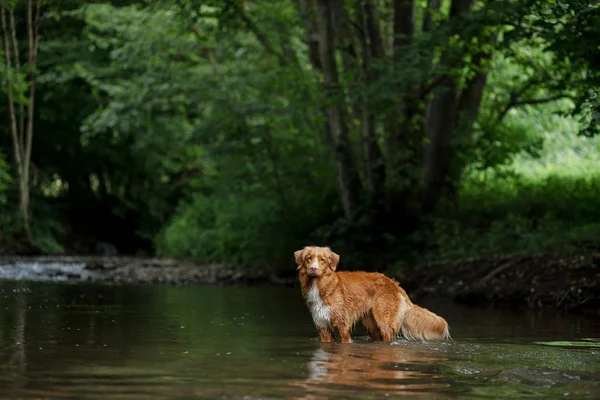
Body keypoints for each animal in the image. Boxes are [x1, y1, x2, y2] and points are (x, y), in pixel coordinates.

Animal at [292, 245, 448, 342]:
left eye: (322, 260)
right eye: (308, 258)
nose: (313, 269)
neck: (322, 285)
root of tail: (394, 284)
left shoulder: (343, 326)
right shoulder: (323, 327)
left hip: (384, 322)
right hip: (372, 325)